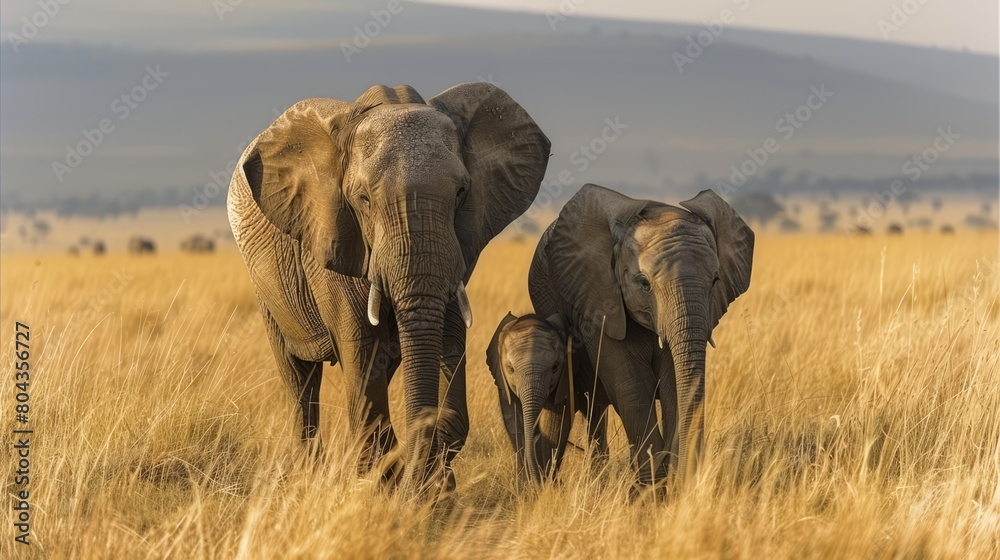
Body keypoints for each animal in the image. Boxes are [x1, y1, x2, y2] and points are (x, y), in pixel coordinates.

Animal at [228, 83, 552, 490]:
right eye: (363, 199)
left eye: (461, 192)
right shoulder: (335, 233)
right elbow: (360, 349)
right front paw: (379, 487)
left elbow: (448, 340)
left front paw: (432, 489)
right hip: (265, 285)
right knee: (299, 378)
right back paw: (309, 476)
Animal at [486, 310, 608, 482]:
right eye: (510, 369)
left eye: (555, 367)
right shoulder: (504, 384)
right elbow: (514, 420)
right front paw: (525, 484)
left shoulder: (564, 380)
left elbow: (554, 424)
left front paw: (546, 484)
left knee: (595, 420)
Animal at [532, 186, 752, 488]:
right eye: (643, 283)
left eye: (715, 281)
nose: (687, 480)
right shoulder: (599, 301)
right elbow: (632, 389)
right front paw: (653, 489)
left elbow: (673, 387)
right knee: (564, 409)